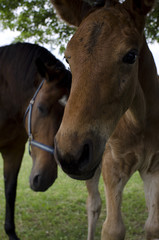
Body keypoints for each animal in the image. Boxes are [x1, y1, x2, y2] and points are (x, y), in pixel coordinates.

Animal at [51, 0, 159, 239]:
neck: (139, 125)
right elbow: (113, 228)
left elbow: (153, 225)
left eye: (131, 55)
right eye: (68, 58)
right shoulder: (112, 164)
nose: (70, 154)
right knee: (93, 204)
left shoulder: (155, 167)